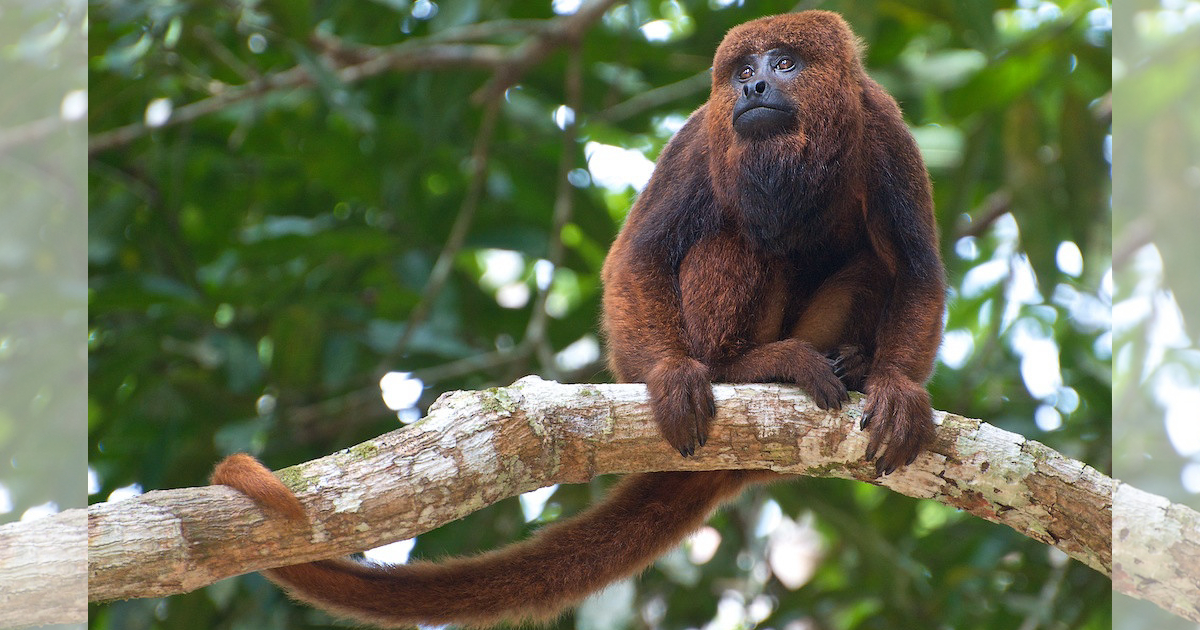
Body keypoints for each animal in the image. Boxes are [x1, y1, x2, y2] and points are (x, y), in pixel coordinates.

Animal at [213, 11, 945, 628]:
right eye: (742, 72)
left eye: (785, 63)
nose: (756, 85)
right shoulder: (699, 135)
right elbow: (637, 257)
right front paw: (673, 376)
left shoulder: (887, 130)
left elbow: (916, 271)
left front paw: (896, 389)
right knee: (735, 236)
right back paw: (745, 365)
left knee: (871, 264)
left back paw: (847, 363)